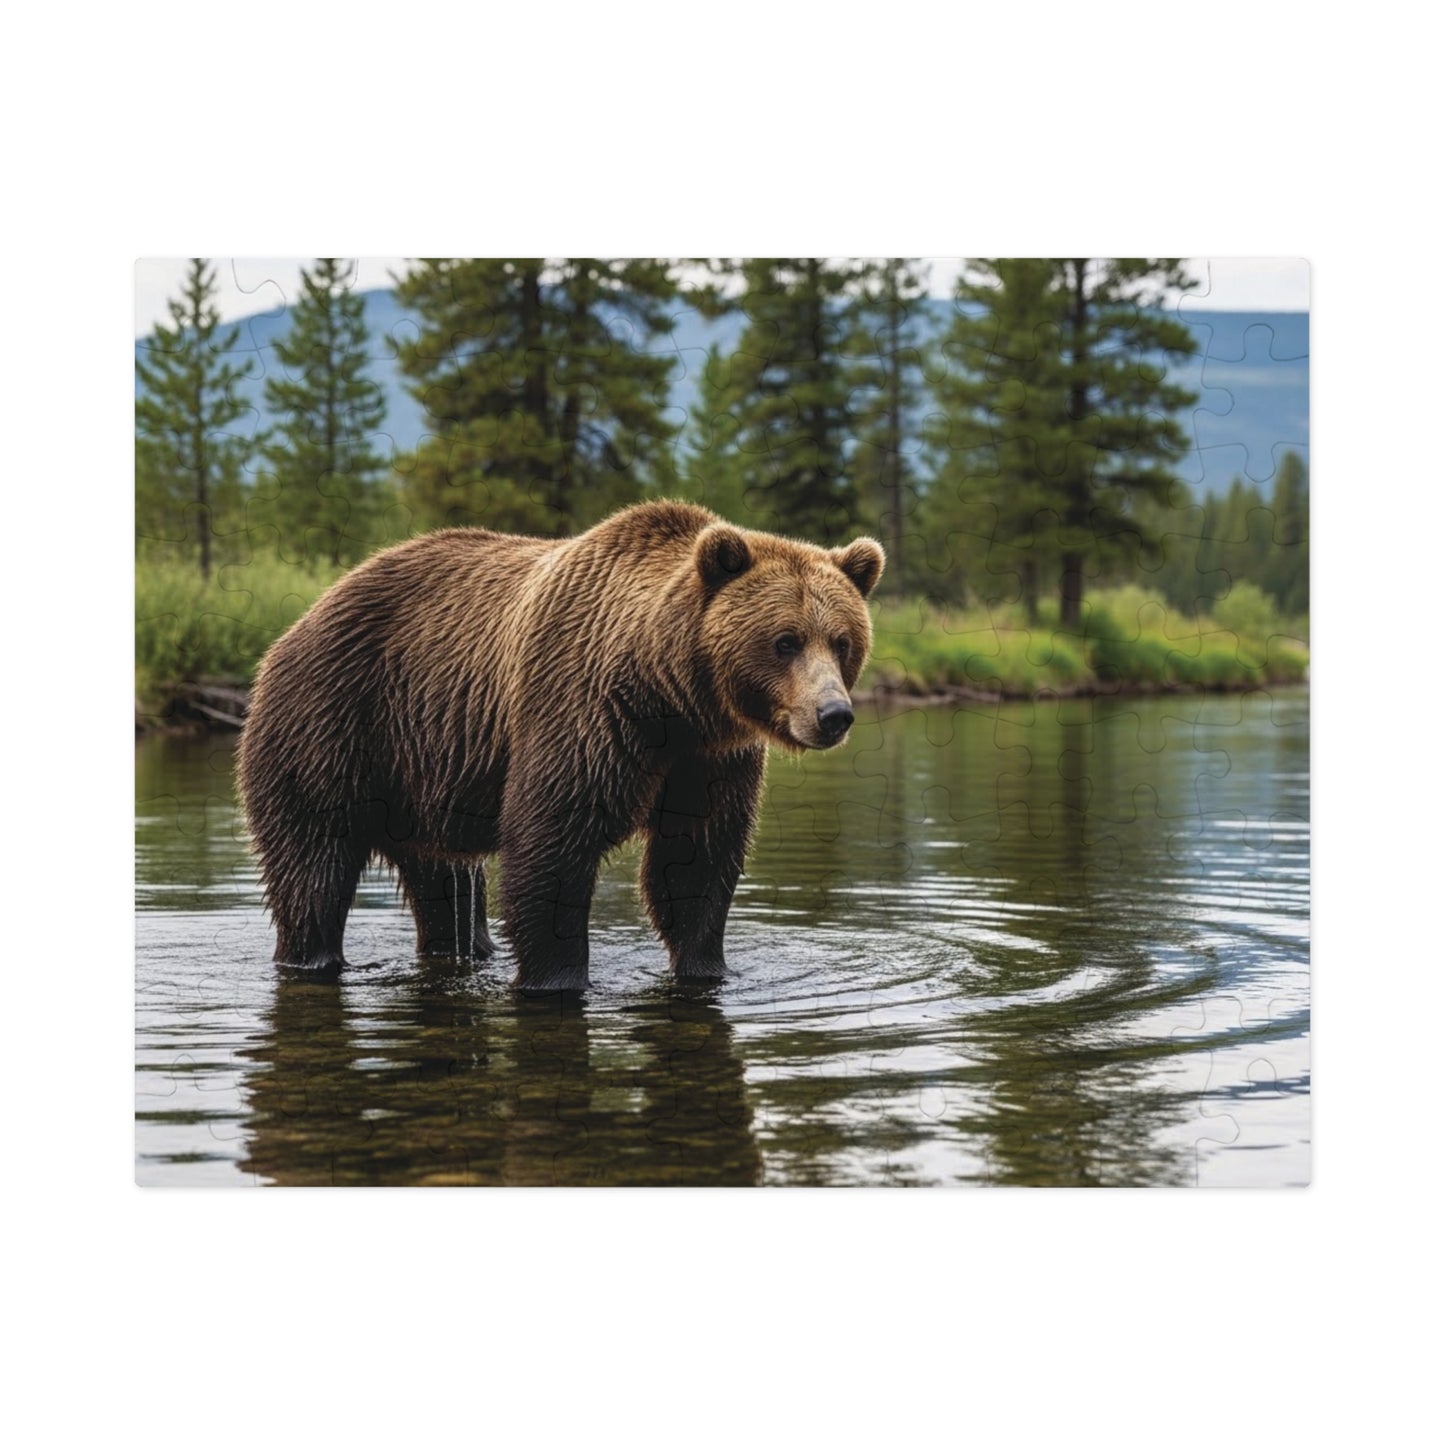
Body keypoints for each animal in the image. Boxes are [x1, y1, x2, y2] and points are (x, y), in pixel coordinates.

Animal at [236, 500, 885, 990]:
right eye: (785, 640)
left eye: (842, 641)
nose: (833, 714)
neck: (669, 693)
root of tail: (300, 620)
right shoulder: (582, 710)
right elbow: (551, 846)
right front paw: (557, 976)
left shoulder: (708, 758)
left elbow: (696, 860)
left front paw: (706, 967)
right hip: (332, 724)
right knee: (312, 865)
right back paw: (310, 954)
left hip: (422, 767)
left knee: (442, 879)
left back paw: (461, 947)